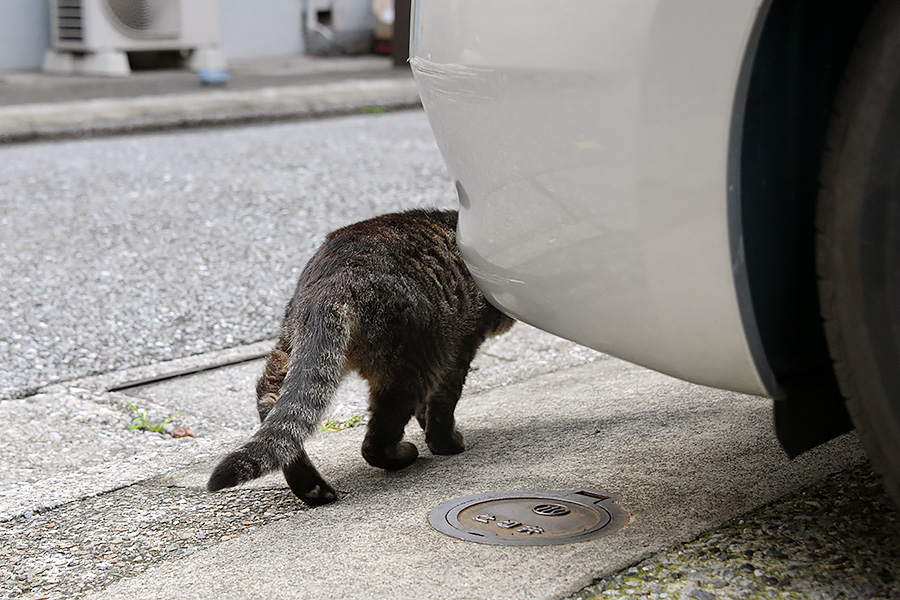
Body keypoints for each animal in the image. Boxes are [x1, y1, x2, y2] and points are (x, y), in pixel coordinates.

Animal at [206, 210, 512, 506]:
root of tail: (334, 280)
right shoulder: (459, 347)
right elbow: (442, 404)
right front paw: (445, 442)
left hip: (291, 350)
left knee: (273, 404)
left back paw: (311, 488)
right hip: (412, 364)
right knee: (375, 441)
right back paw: (400, 455)